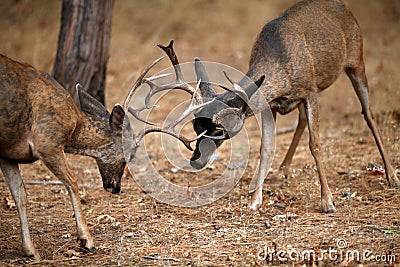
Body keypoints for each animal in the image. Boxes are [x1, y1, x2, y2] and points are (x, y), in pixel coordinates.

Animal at [0, 46, 212, 262]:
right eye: (131, 154)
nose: (114, 187)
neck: (73, 125)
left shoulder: (8, 154)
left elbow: (20, 195)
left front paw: (29, 250)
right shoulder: (47, 141)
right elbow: (72, 182)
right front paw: (87, 240)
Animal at [184, 0, 400, 214]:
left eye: (220, 130)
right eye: (195, 127)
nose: (196, 159)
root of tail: (343, 6)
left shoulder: (311, 91)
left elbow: (315, 144)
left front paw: (327, 201)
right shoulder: (269, 105)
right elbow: (266, 147)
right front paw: (255, 201)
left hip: (357, 60)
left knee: (369, 114)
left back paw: (392, 176)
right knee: (303, 119)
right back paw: (283, 169)